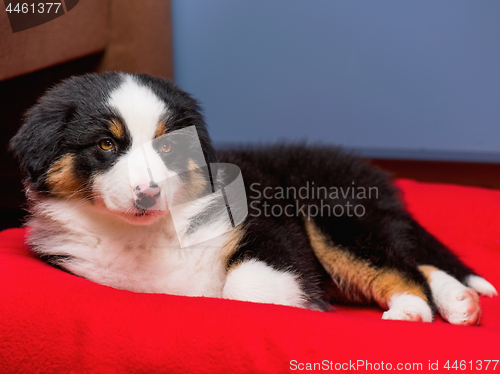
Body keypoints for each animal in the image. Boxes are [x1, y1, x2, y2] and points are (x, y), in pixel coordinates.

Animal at [9, 73, 498, 324]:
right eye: (106, 145)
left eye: (168, 148)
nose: (148, 194)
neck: (145, 237)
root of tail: (373, 174)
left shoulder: (264, 227)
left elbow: (242, 289)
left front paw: (298, 305)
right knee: (409, 258)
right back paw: (458, 302)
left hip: (331, 213)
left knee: (400, 265)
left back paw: (414, 310)